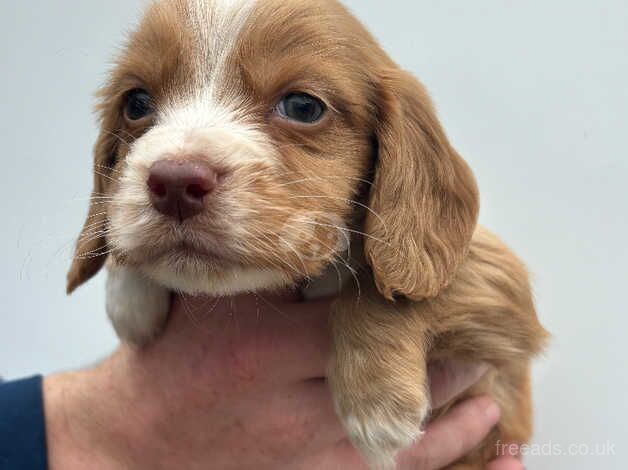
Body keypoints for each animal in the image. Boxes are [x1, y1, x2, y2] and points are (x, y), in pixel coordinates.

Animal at [68, 1, 548, 468]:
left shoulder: (495, 286)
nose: (174, 183)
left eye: (302, 107)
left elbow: (384, 288)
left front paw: (377, 405)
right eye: (136, 103)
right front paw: (129, 298)